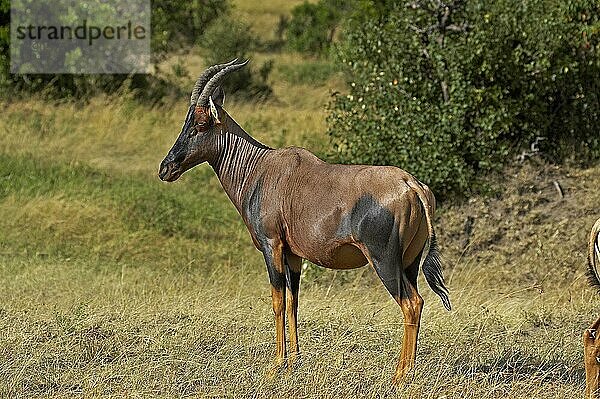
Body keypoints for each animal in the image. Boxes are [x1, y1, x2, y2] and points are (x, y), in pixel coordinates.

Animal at [158, 60, 450, 384]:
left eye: (200, 124)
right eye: (185, 123)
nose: (166, 168)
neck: (261, 168)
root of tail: (412, 185)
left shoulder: (272, 246)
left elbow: (277, 301)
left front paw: (275, 364)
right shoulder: (293, 254)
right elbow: (294, 301)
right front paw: (293, 360)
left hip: (384, 260)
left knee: (410, 304)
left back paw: (400, 374)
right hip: (409, 263)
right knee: (418, 301)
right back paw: (408, 369)